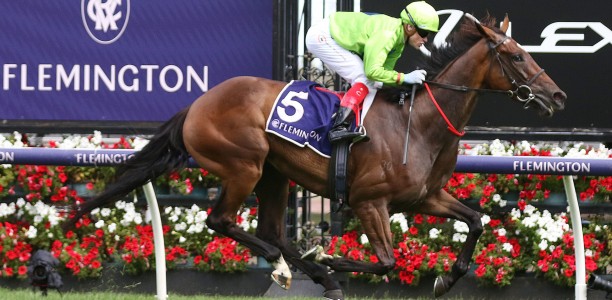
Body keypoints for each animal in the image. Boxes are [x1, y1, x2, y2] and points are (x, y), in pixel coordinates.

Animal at [68, 15, 564, 298]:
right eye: (516, 57)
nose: (557, 95)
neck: (421, 123)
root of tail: (199, 103)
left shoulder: (424, 198)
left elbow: (477, 220)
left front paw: (446, 279)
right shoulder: (369, 201)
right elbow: (386, 262)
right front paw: (330, 260)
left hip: (274, 173)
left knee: (269, 230)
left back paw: (307, 270)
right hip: (244, 165)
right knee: (222, 221)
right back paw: (293, 268)